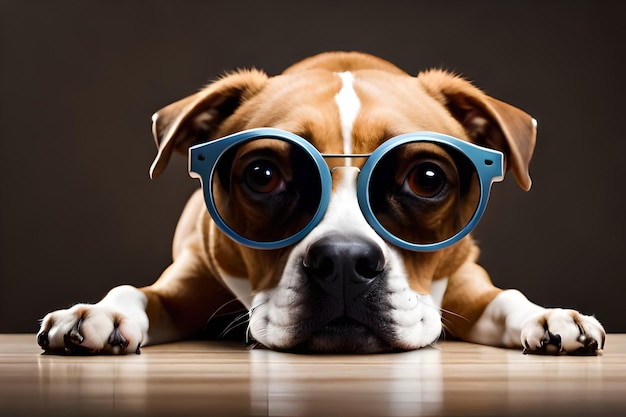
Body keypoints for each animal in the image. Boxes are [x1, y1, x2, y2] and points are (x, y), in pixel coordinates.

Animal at [36, 51, 604, 354]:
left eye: (426, 178)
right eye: (262, 175)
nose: (346, 261)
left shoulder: (465, 284)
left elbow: (505, 299)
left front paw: (549, 316)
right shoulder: (186, 286)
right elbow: (139, 291)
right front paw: (103, 311)